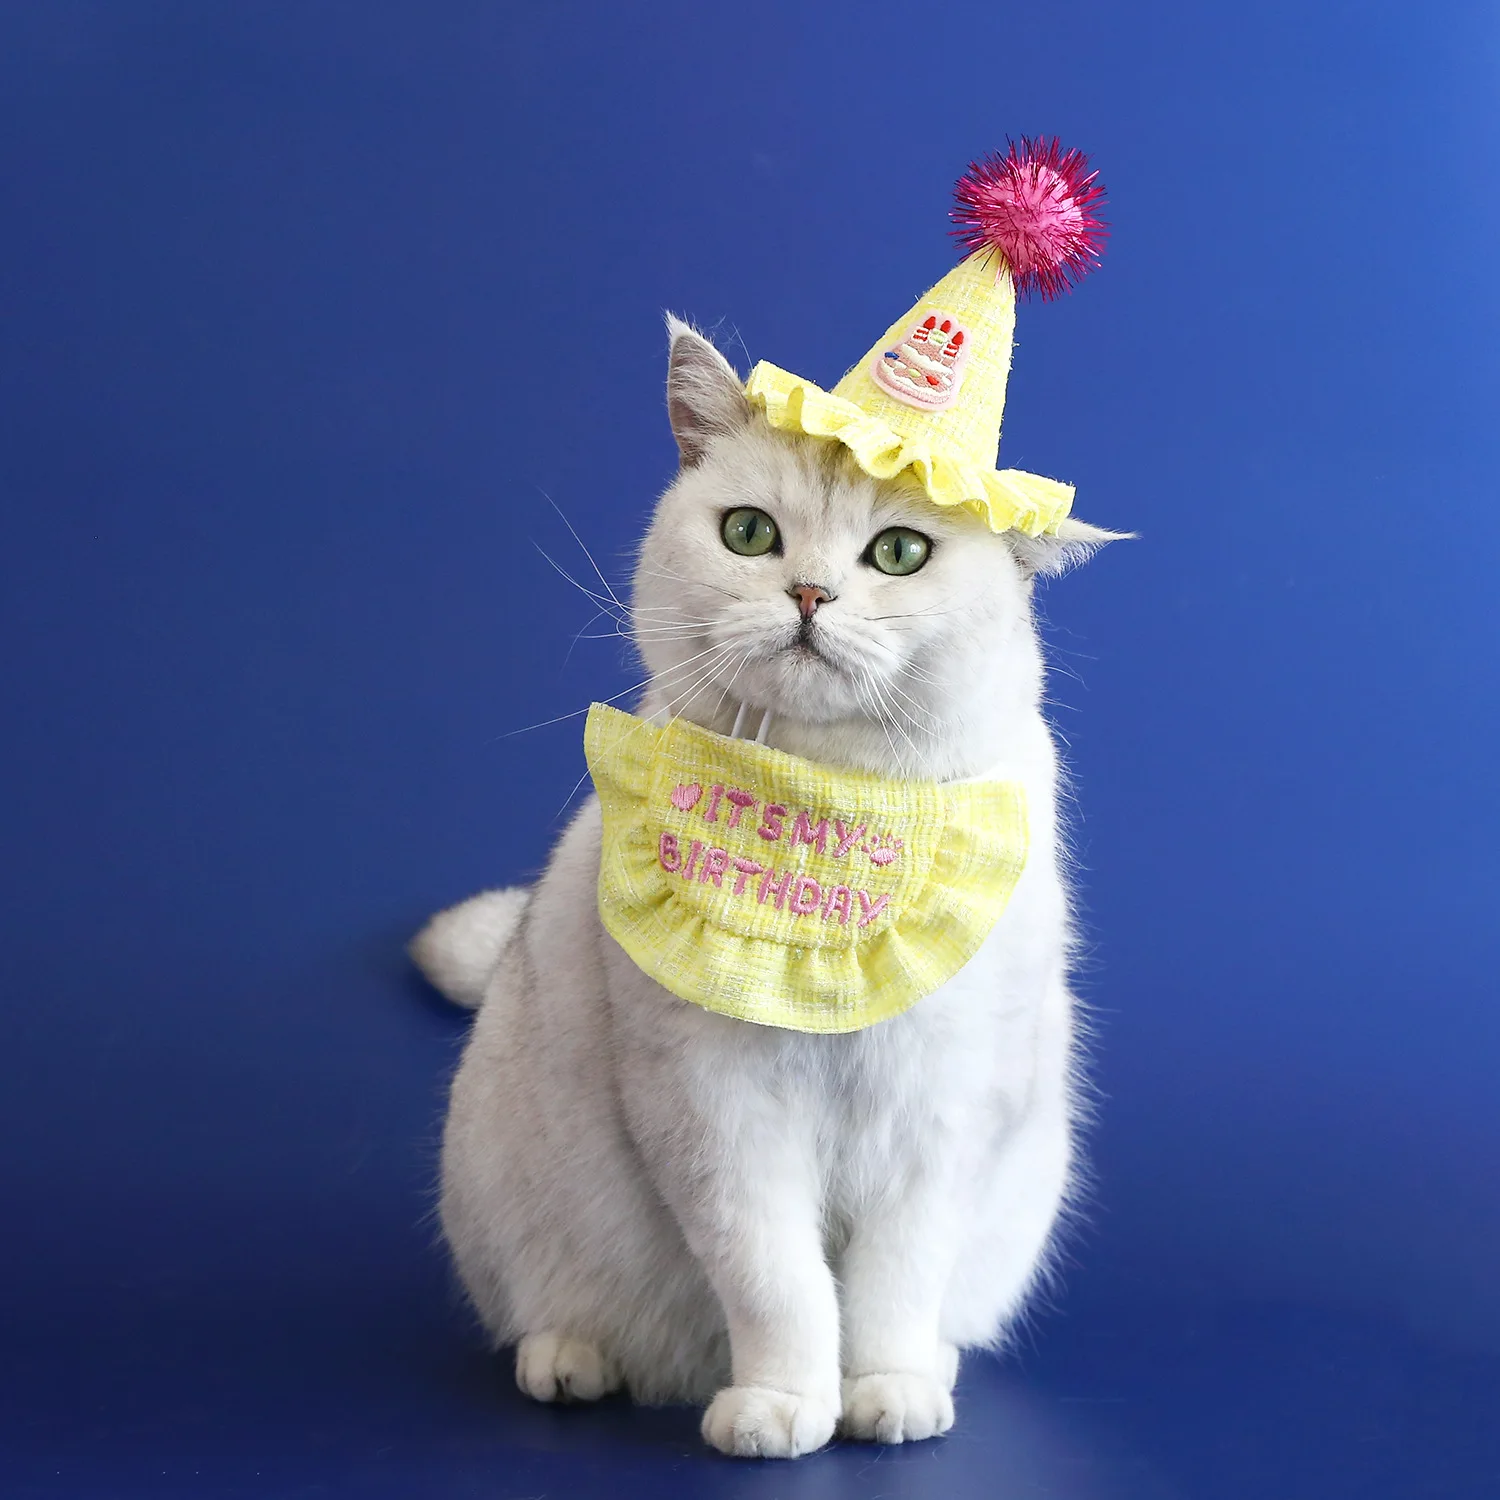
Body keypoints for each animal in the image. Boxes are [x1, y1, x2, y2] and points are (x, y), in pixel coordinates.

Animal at [411, 317, 1118, 1458]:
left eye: (899, 552)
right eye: (749, 534)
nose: (810, 595)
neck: (822, 817)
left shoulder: (943, 1110)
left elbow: (890, 1287)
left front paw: (886, 1393)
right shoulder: (715, 1110)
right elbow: (778, 1282)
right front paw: (783, 1407)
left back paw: (933, 1367)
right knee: (550, 1314)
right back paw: (576, 1364)